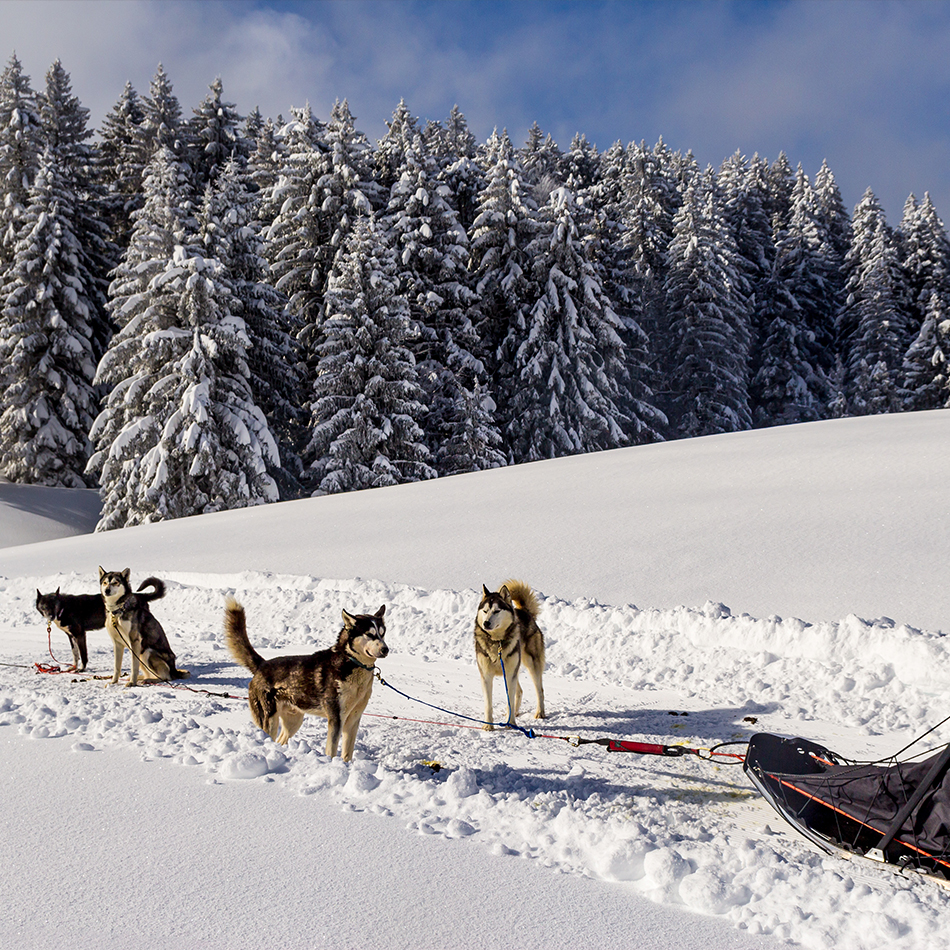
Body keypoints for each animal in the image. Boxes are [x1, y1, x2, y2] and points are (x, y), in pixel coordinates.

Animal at [225, 600, 388, 764]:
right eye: (369, 634)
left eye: (382, 633)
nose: (386, 649)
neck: (351, 662)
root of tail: (262, 665)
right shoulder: (336, 718)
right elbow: (331, 749)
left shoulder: (353, 719)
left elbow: (347, 753)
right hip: (269, 720)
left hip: (294, 721)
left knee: (280, 740)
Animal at [474, 580, 548, 728]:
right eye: (485, 611)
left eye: (496, 611)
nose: (486, 623)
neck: (497, 642)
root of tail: (525, 612)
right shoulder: (486, 675)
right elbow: (488, 704)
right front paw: (488, 726)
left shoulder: (510, 673)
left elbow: (510, 699)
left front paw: (511, 723)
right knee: (519, 691)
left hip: (530, 664)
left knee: (539, 691)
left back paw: (539, 713)